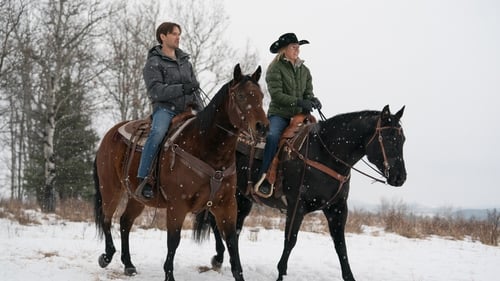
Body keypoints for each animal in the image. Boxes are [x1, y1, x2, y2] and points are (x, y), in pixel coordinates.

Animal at [92, 64, 268, 280]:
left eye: (260, 96)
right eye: (241, 96)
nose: (263, 127)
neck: (208, 150)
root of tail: (109, 135)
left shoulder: (227, 205)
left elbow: (232, 242)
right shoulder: (178, 206)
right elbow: (173, 241)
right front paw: (169, 275)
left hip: (136, 196)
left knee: (125, 221)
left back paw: (129, 264)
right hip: (111, 188)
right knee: (107, 218)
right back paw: (107, 256)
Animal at [193, 104, 408, 280]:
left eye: (403, 139)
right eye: (387, 138)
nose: (400, 177)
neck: (325, 153)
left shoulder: (337, 209)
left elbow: (340, 245)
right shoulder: (297, 205)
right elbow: (290, 241)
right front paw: (280, 274)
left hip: (244, 199)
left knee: (232, 229)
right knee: (217, 223)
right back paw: (219, 258)